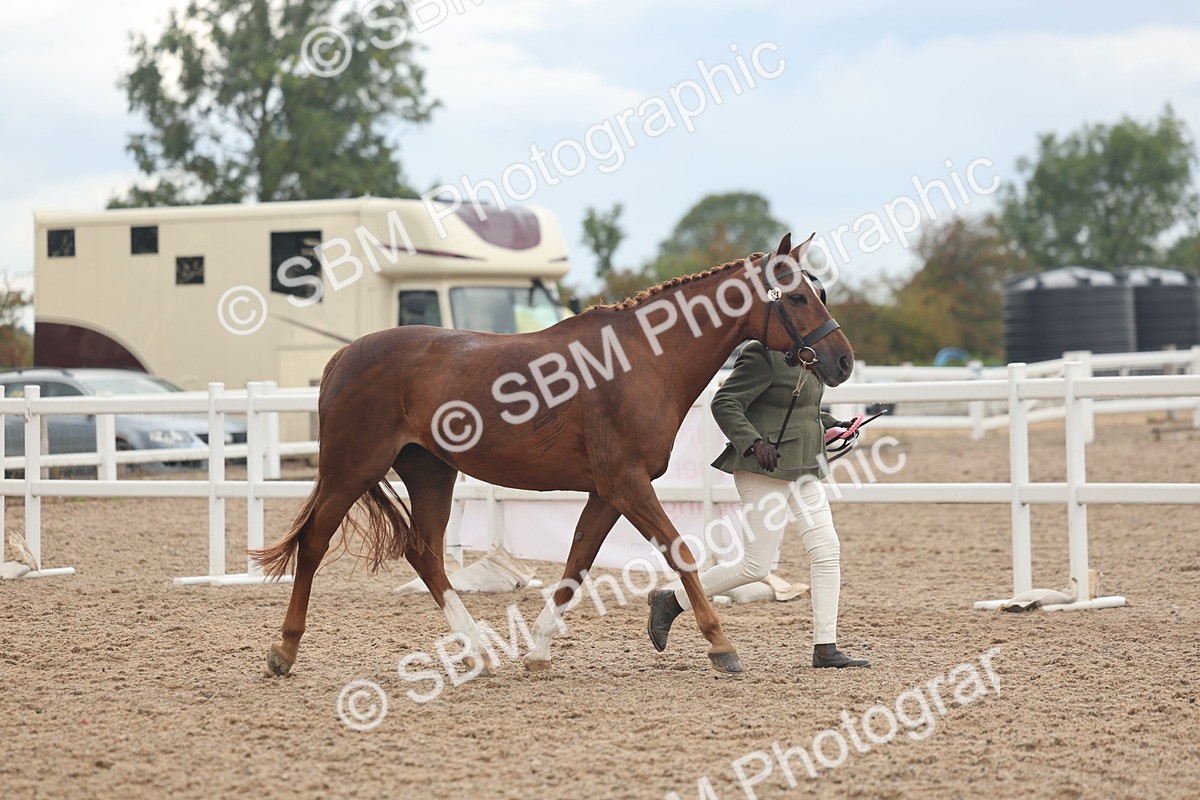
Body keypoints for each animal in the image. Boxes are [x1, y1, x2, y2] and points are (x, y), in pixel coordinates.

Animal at [251, 232, 854, 676]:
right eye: (797, 297)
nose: (843, 361)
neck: (641, 360)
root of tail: (343, 358)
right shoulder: (628, 484)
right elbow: (679, 553)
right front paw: (721, 645)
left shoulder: (607, 492)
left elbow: (576, 562)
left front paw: (538, 651)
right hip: (351, 470)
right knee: (314, 543)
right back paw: (283, 652)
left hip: (430, 474)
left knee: (424, 553)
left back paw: (477, 648)